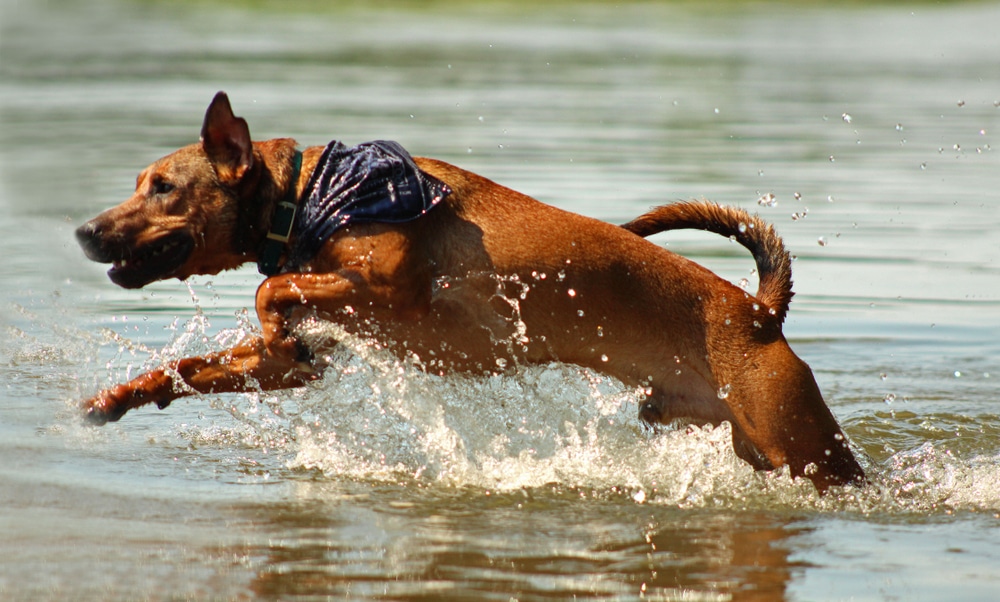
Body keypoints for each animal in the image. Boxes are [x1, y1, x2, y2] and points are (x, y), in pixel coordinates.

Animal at [76, 92, 868, 488]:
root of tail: (758, 311)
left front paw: (273, 312)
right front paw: (117, 398)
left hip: (800, 442)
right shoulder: (291, 359)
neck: (310, 197)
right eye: (139, 182)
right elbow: (191, 367)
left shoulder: (391, 286)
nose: (84, 231)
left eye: (163, 187)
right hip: (741, 438)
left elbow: (271, 296)